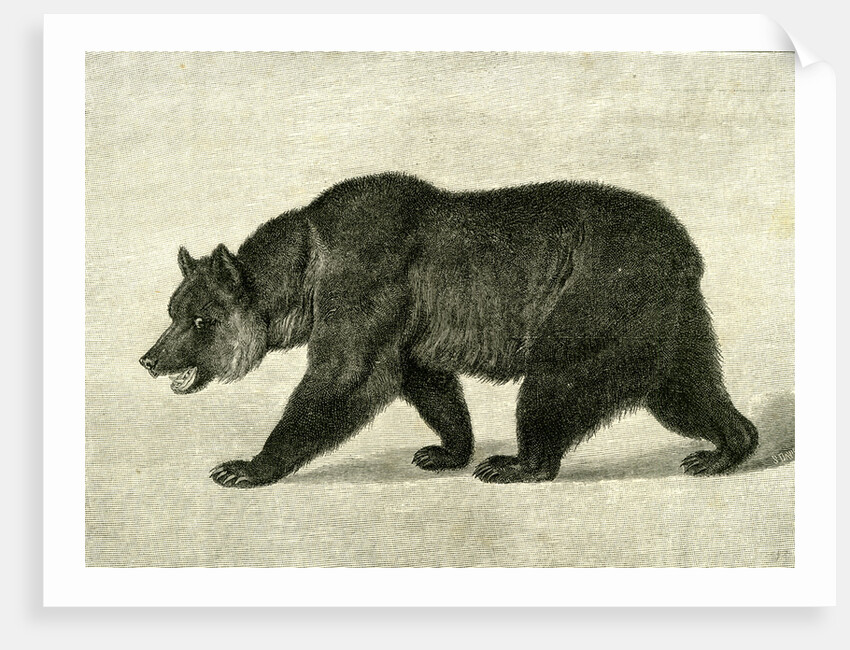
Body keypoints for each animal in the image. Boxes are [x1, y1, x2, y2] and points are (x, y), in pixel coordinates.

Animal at [140, 172, 758, 487]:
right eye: (172, 310)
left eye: (201, 320)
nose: (150, 358)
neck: (308, 269)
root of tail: (684, 248)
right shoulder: (408, 322)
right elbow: (428, 382)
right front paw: (445, 450)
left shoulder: (365, 279)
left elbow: (345, 377)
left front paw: (246, 466)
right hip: (664, 322)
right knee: (685, 389)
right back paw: (726, 449)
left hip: (596, 295)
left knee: (554, 382)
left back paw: (518, 464)